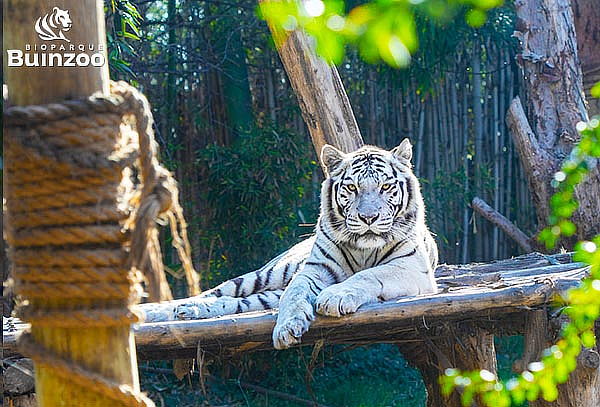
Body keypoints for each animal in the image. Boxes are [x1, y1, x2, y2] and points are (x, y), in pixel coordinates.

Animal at [143, 140, 438, 350]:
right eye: (352, 188)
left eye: (386, 187)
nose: (369, 217)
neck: (363, 248)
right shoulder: (314, 269)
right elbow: (295, 293)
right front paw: (286, 327)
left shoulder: (411, 268)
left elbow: (369, 274)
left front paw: (334, 297)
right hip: (264, 275)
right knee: (213, 294)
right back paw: (162, 311)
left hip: (263, 294)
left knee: (234, 302)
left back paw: (188, 312)